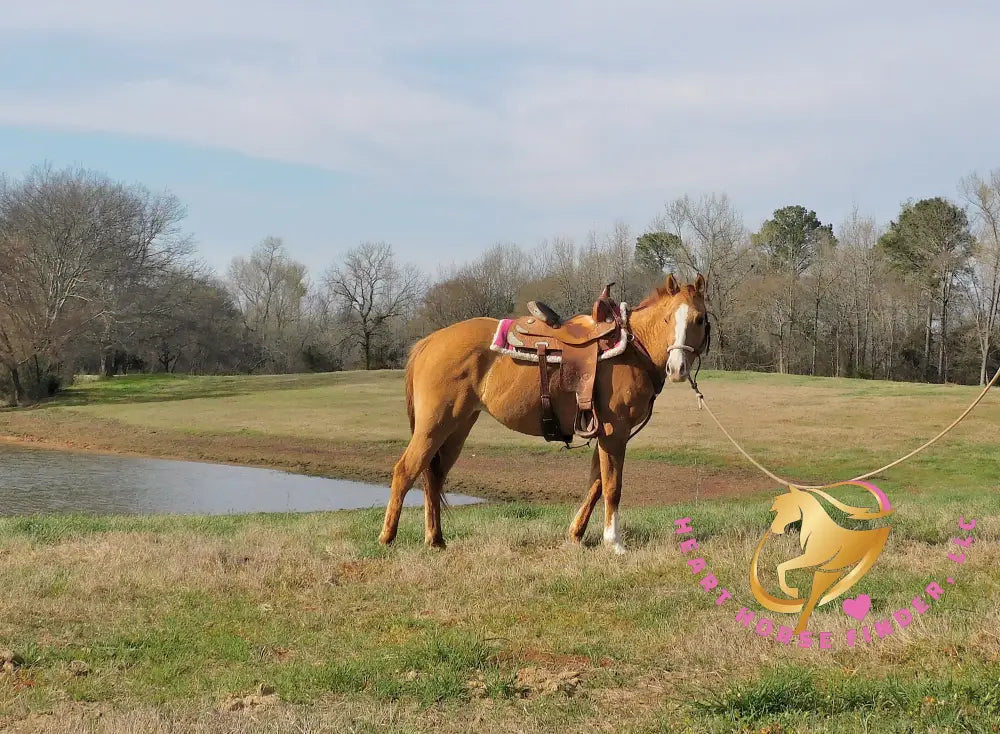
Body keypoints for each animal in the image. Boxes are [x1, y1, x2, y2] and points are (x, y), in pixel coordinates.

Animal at [378, 274, 710, 551]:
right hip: (434, 426)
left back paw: (436, 540)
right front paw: (614, 543)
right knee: (405, 470)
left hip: (457, 428)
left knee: (434, 476)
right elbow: (611, 486)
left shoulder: (606, 434)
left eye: (699, 319)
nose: (677, 368)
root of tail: (429, 341)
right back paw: (387, 538)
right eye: (667, 318)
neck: (632, 347)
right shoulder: (615, 433)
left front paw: (576, 535)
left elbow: (595, 483)